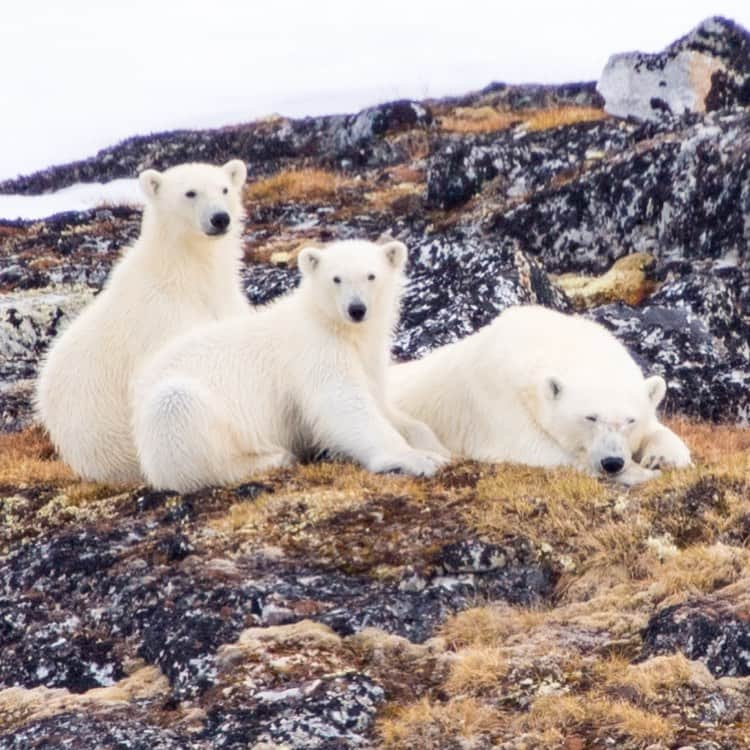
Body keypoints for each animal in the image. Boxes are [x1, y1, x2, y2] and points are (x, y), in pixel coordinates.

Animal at [132, 238, 450, 490]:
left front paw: (437, 447)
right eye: (336, 279)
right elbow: (344, 405)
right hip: (173, 419)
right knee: (179, 414)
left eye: (371, 276)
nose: (357, 309)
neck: (332, 324)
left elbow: (383, 405)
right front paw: (417, 459)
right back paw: (271, 458)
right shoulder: (316, 351)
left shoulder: (368, 354)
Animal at [390, 306, 696, 488]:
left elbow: (659, 430)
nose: (613, 462)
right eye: (590, 417)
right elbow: (530, 446)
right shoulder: (495, 394)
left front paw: (661, 458)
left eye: (630, 420)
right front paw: (639, 472)